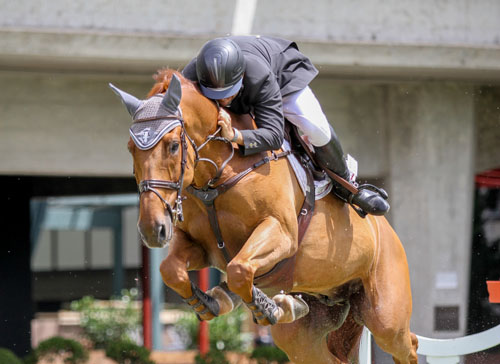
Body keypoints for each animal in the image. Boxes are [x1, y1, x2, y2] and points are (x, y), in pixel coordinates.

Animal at [109, 69, 418, 362]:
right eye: (131, 149)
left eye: (173, 146)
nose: (152, 229)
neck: (220, 172)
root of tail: (388, 232)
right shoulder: (203, 247)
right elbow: (171, 269)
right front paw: (210, 302)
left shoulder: (280, 233)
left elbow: (240, 269)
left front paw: (266, 306)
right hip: (303, 337)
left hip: (385, 318)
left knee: (409, 344)